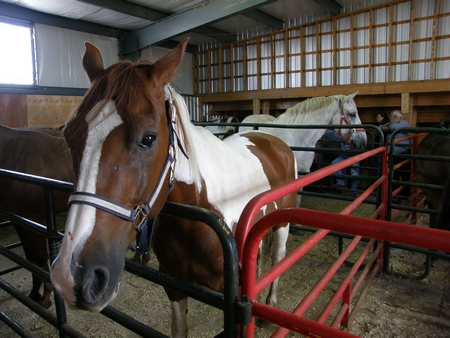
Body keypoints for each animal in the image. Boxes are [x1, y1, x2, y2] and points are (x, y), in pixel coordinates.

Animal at [50, 38, 298, 336]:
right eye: (69, 135)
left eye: (148, 138)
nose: (73, 276)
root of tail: (273, 141)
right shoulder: (175, 287)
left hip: (282, 224)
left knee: (279, 257)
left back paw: (269, 305)